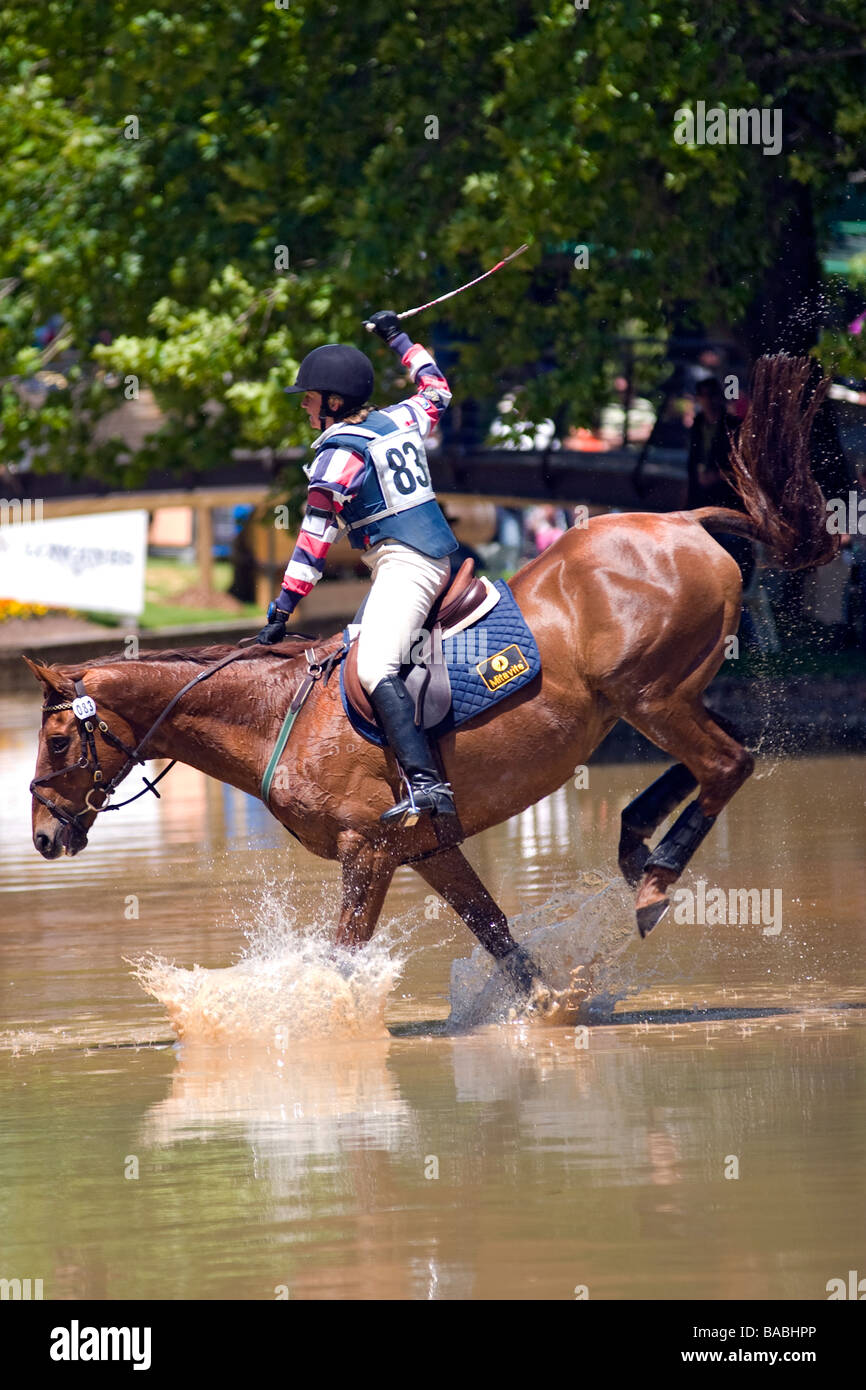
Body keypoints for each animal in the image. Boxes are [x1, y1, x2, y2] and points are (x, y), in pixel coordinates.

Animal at [27, 355, 839, 989]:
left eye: (60, 744)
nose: (40, 838)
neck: (275, 715)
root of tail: (682, 521)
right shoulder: (427, 849)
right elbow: (500, 939)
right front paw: (548, 1012)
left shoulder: (367, 851)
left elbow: (343, 959)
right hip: (664, 694)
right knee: (718, 756)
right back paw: (636, 843)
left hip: (652, 697)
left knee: (726, 763)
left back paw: (655, 882)